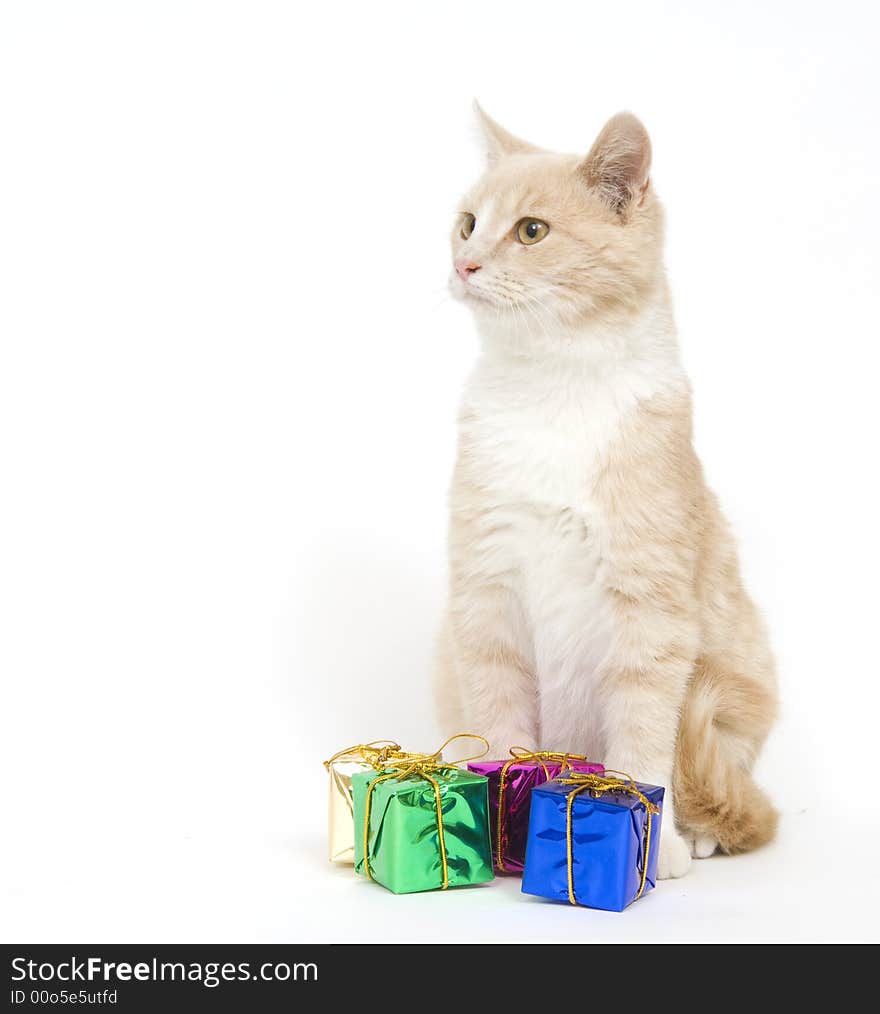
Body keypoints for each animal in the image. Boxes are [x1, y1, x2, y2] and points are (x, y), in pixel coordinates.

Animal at [433, 104, 778, 880]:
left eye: (532, 231)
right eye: (468, 223)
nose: (464, 265)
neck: (552, 390)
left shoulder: (651, 608)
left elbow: (646, 732)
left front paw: (659, 844)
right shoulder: (484, 595)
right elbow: (496, 717)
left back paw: (698, 834)